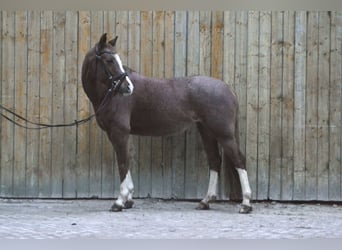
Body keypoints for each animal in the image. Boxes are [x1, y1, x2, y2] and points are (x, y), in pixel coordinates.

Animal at [80, 32, 251, 213]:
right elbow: (127, 161)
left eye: (117, 59)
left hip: (224, 134)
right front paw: (128, 200)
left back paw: (246, 203)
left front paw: (120, 201)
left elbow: (122, 163)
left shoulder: (119, 132)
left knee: (239, 160)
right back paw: (205, 201)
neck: (110, 95)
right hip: (207, 132)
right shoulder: (119, 134)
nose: (128, 87)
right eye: (109, 60)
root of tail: (228, 89)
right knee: (215, 161)